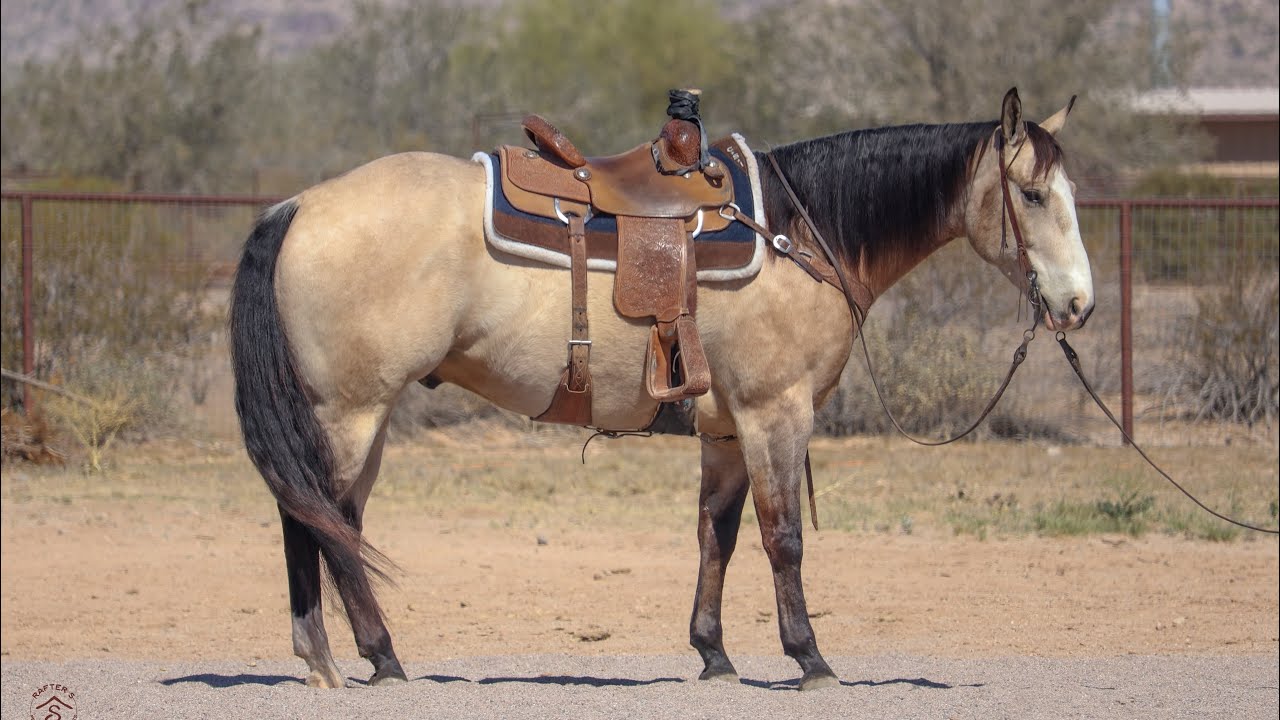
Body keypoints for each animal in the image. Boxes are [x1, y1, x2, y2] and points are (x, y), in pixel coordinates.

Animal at [230, 88, 1094, 690]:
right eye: (1033, 195)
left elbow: (718, 536)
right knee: (321, 522)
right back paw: (365, 657)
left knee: (321, 521)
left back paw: (340, 658)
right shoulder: (775, 413)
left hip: (353, 418)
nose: (1079, 304)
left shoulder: (726, 430)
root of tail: (298, 205)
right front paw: (809, 659)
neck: (800, 238)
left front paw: (714, 654)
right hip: (350, 413)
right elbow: (785, 537)